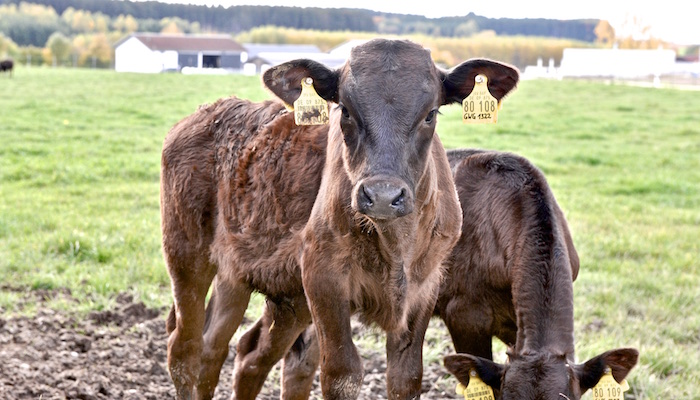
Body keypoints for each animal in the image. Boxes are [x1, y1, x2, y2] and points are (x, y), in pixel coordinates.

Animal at [161, 38, 516, 400]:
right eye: (345, 110)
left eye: (430, 114)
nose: (383, 195)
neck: (394, 244)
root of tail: (210, 111)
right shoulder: (324, 277)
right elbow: (342, 373)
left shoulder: (426, 286)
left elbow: (405, 377)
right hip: (186, 254)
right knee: (185, 349)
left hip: (251, 280)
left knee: (232, 350)